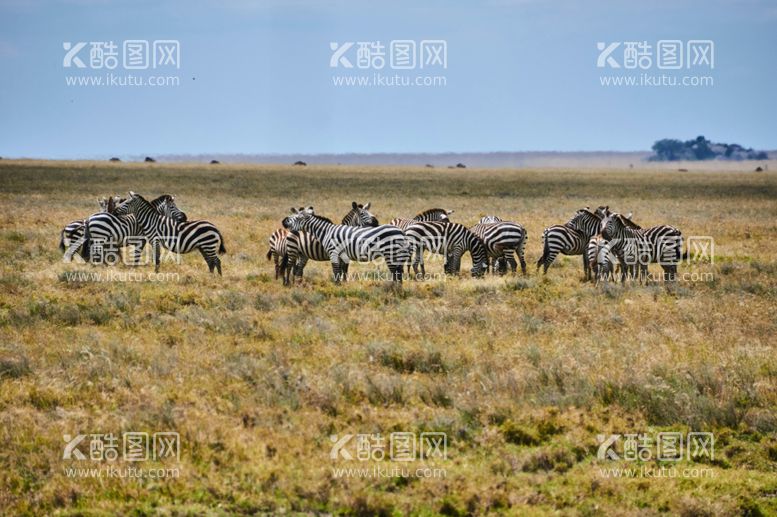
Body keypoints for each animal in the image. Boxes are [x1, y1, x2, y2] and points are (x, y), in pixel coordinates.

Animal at [280, 207, 412, 284]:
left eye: (297, 218)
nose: (283, 221)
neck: (326, 232)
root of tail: (400, 231)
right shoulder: (342, 254)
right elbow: (341, 270)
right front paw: (341, 285)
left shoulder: (333, 252)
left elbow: (336, 270)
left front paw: (337, 286)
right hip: (298, 252)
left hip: (391, 253)